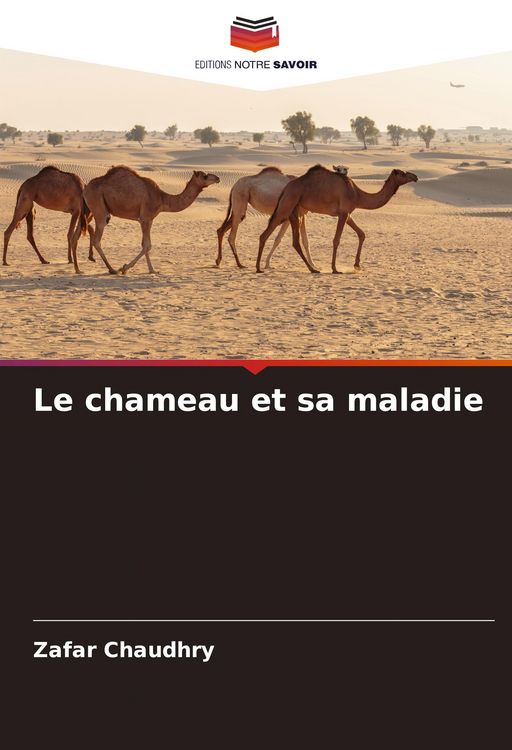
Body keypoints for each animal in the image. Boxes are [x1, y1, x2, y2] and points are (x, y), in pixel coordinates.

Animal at [78, 166, 220, 275]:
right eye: (205, 176)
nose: (218, 178)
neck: (162, 198)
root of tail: (85, 189)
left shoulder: (148, 220)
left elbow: (145, 244)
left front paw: (150, 269)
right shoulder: (145, 218)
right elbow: (147, 245)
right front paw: (126, 268)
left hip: (90, 211)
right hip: (99, 209)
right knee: (97, 240)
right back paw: (112, 269)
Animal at [257, 166, 418, 274]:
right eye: (402, 173)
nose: (415, 177)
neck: (357, 194)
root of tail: (286, 188)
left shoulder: (347, 213)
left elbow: (361, 234)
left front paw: (357, 265)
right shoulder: (343, 213)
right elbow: (336, 240)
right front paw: (335, 268)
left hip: (294, 211)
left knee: (293, 241)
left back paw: (312, 269)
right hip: (287, 205)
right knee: (267, 233)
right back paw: (259, 267)